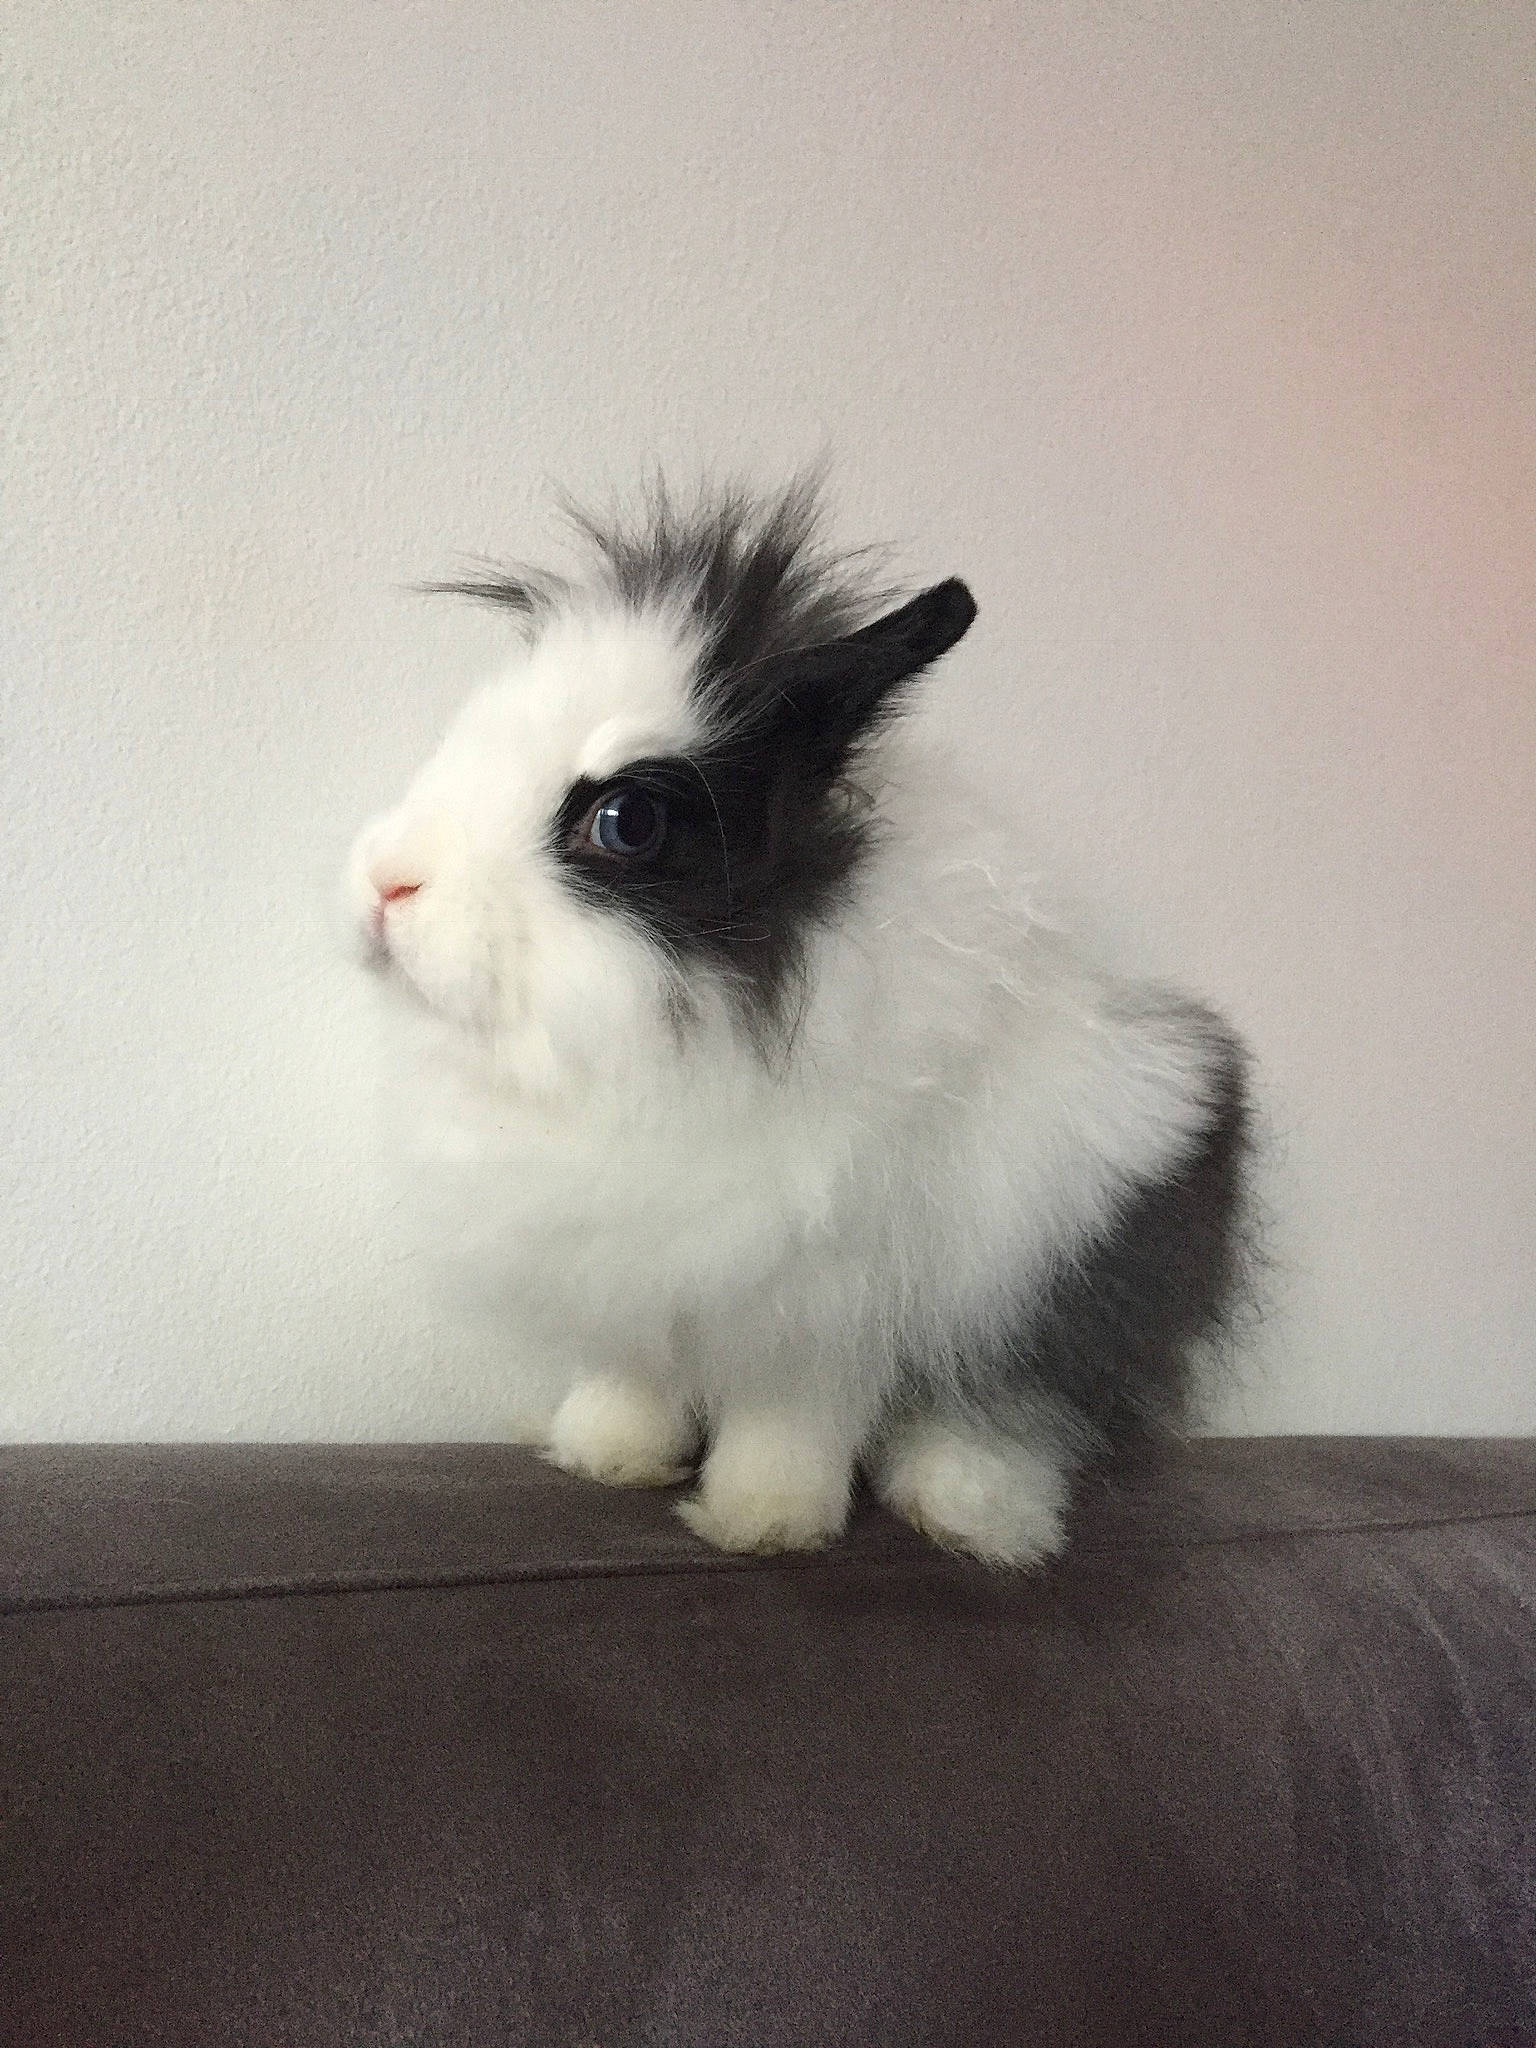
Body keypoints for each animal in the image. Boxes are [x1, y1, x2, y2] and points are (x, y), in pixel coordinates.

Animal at [343, 479, 1252, 1565]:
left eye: (625, 822)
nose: (385, 881)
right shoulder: (627, 1276)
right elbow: (631, 1373)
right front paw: (604, 1455)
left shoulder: (827, 1304)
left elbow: (793, 1416)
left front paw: (765, 1521)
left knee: (1016, 1404)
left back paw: (970, 1511)